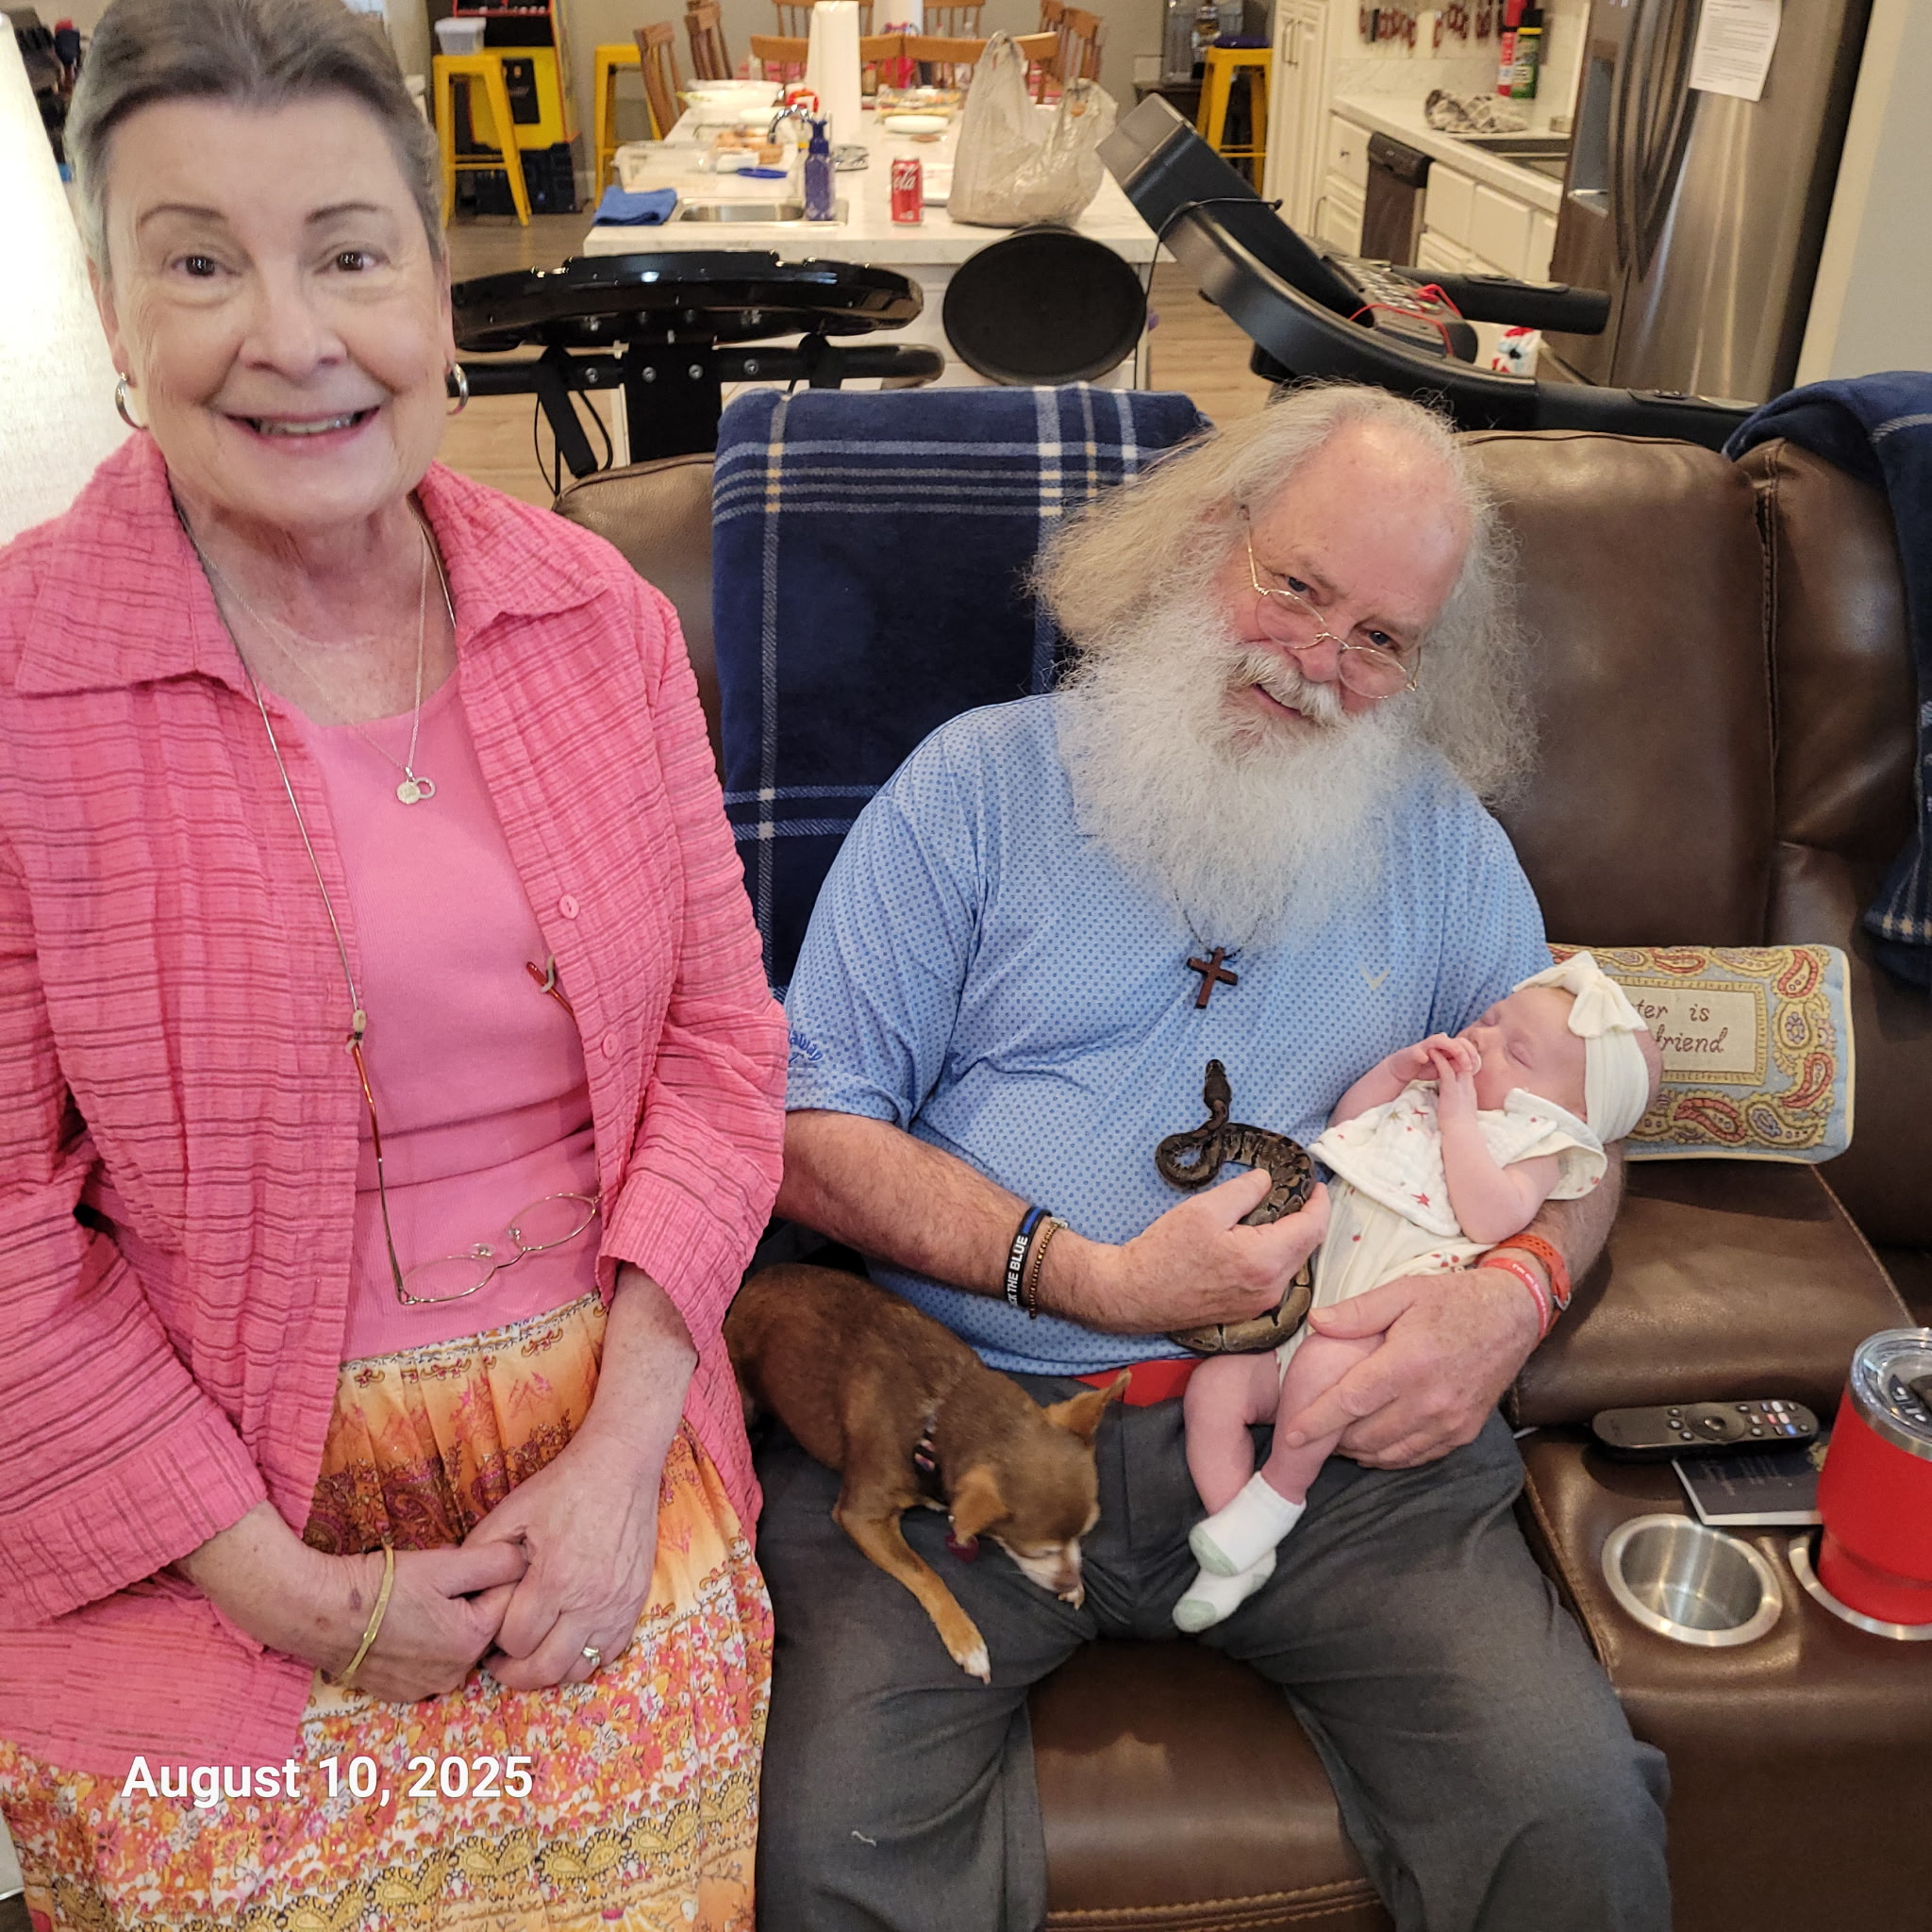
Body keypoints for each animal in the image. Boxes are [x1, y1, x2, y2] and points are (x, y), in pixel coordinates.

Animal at [725, 1263, 1128, 1682]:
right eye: (1038, 1551)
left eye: (1086, 1533)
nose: (1072, 1580)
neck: (942, 1407)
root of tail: (758, 1278)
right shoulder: (862, 1516)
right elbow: (925, 1573)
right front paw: (966, 1640)